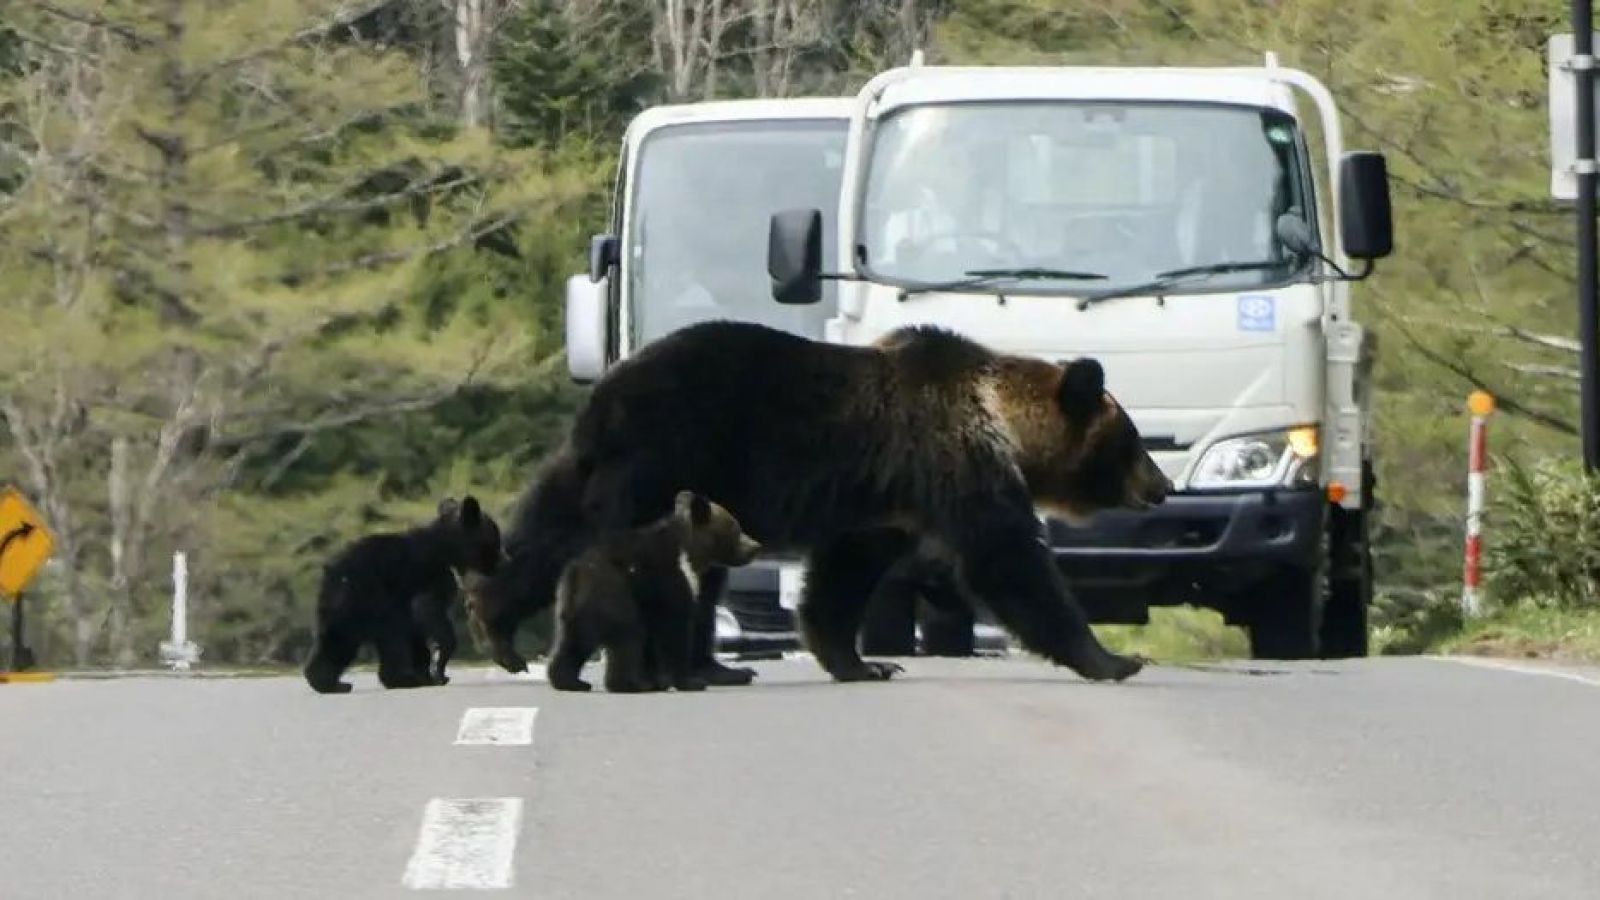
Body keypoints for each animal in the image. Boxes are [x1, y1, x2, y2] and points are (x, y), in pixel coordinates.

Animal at [302, 495, 506, 694]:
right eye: (495, 536)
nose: (503, 560)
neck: (444, 548)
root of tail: (332, 572)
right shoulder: (431, 575)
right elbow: (427, 609)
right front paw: (439, 667)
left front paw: (431, 673)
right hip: (372, 599)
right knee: (392, 636)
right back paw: (402, 679)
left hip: (340, 605)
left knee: (336, 640)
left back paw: (328, 682)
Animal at [546, 490, 762, 693]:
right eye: (736, 528)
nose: (755, 547)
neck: (691, 553)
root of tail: (576, 573)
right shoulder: (669, 581)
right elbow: (674, 629)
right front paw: (689, 682)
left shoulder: (651, 601)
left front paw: (658, 679)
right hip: (614, 594)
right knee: (628, 636)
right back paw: (631, 684)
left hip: (574, 608)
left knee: (574, 642)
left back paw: (571, 681)